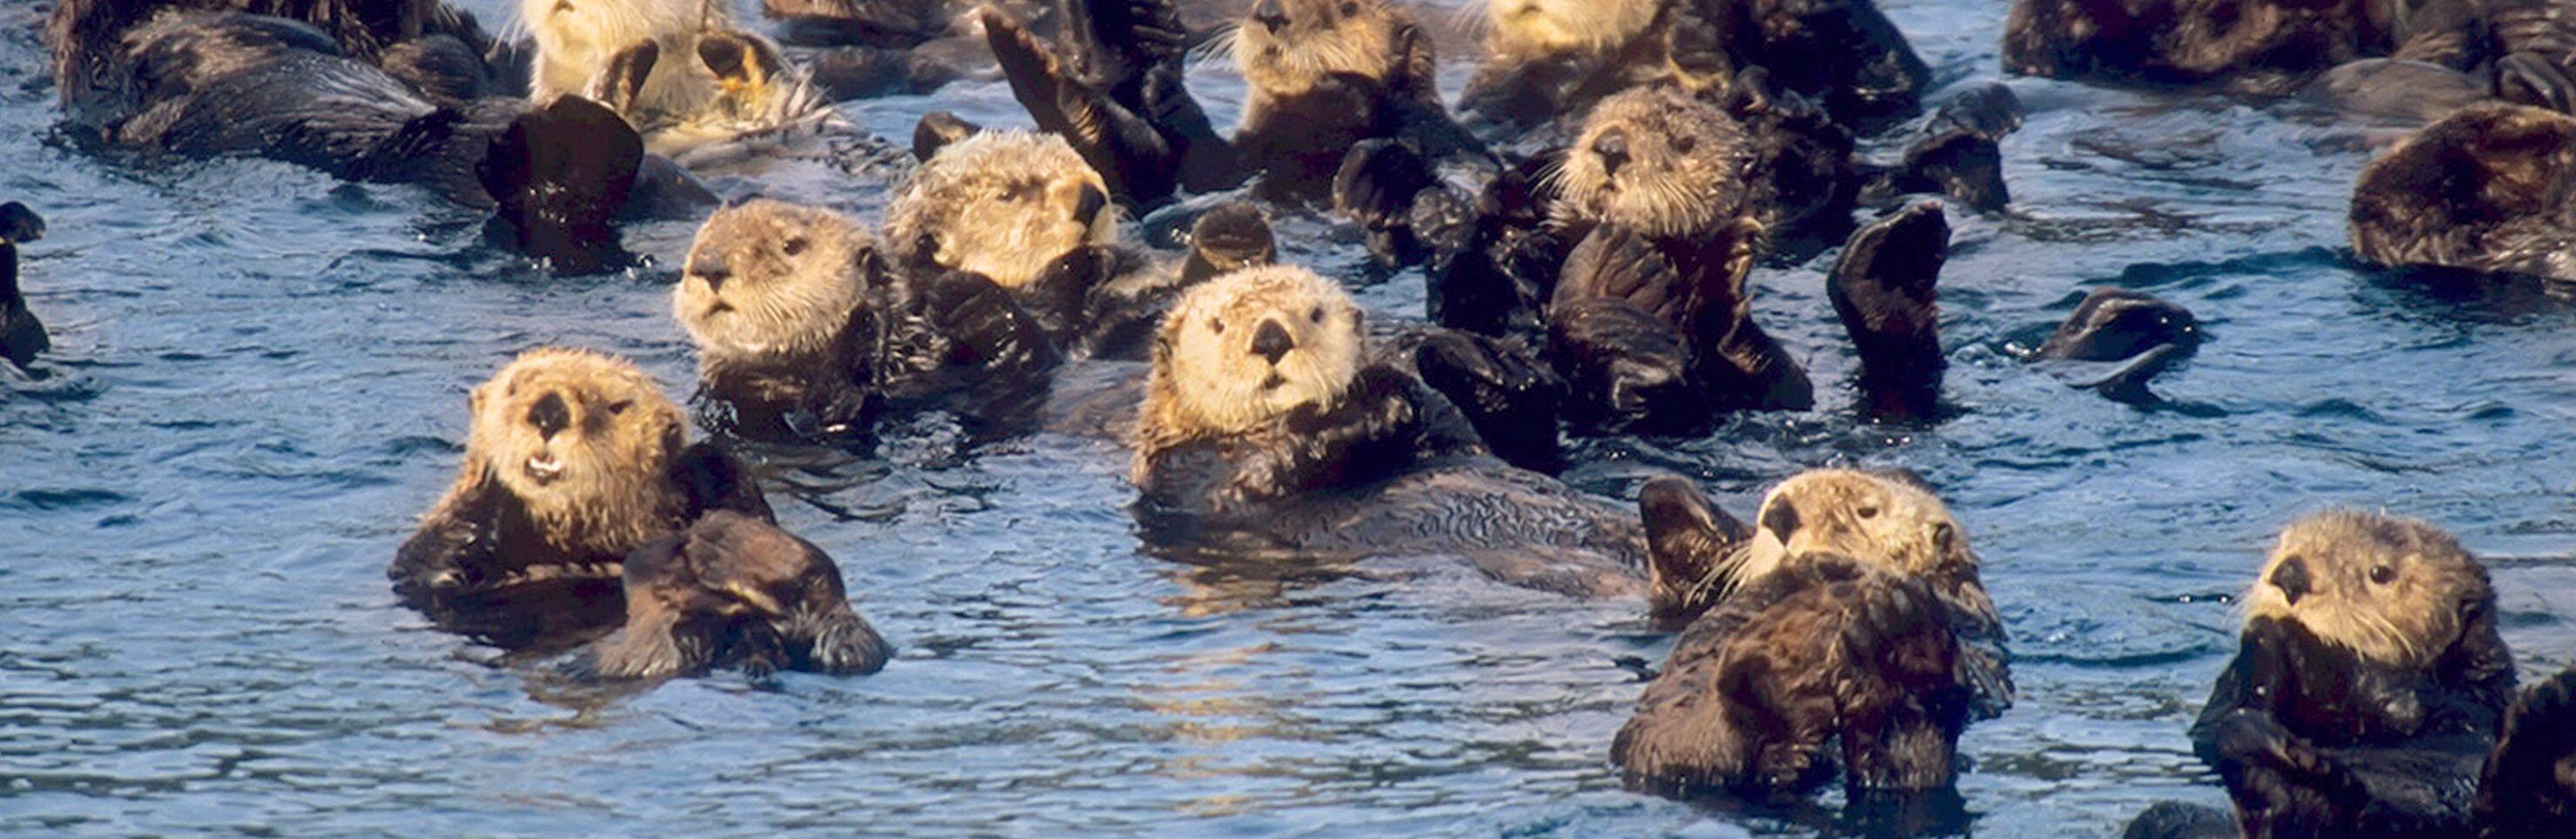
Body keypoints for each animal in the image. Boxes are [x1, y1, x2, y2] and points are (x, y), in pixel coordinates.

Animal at [392, 348, 773, 651]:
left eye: (617, 406)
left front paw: (707, 465)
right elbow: (426, 574)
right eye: (513, 389)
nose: (549, 411)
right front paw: (493, 482)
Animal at [1130, 265, 1646, 597]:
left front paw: (1482, 360)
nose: (1271, 337)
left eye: (1315, 314)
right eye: (1218, 325)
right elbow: (1259, 471)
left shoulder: (1450, 427)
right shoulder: (1192, 472)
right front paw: (1376, 399)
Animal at [2190, 510, 2517, 838]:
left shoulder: (2475, 697)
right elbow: (2212, 724)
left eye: (2380, 572)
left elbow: (2417, 707)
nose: (2290, 573)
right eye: (2283, 544)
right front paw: (2265, 638)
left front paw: (2291, 637)